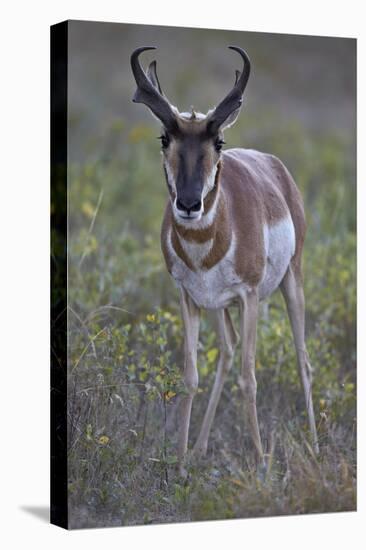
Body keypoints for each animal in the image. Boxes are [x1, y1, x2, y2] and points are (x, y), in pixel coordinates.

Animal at [131, 45, 318, 474]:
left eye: (218, 141)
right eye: (164, 137)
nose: (188, 204)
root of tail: (275, 166)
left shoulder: (249, 297)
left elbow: (250, 378)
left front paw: (262, 465)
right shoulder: (189, 297)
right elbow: (189, 376)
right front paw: (180, 463)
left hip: (292, 281)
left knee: (302, 360)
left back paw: (316, 449)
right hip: (217, 306)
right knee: (229, 350)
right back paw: (200, 450)